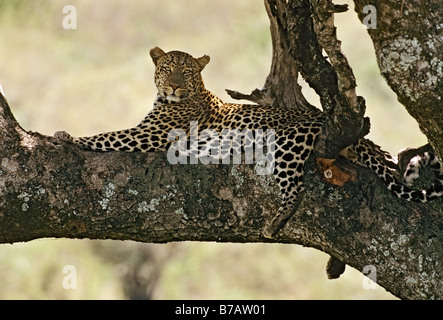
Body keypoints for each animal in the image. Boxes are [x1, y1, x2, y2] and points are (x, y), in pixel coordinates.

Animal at [54, 47, 443, 238]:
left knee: (296, 188)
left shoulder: (148, 135)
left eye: (187, 72)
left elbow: (106, 136)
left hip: (287, 145)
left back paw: (275, 223)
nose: (174, 86)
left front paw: (65, 136)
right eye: (167, 69)